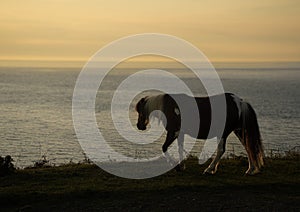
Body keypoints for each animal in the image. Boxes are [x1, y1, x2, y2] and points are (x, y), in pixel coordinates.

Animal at [136, 92, 264, 175]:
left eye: (139, 110)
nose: (139, 126)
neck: (169, 106)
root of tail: (240, 102)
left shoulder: (173, 132)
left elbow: (164, 148)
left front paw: (176, 166)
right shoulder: (180, 133)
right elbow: (179, 148)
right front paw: (181, 165)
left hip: (223, 133)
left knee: (221, 150)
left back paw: (209, 169)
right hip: (239, 131)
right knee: (248, 147)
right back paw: (250, 169)